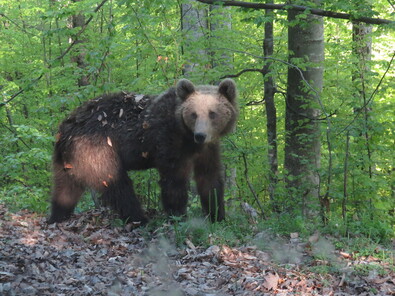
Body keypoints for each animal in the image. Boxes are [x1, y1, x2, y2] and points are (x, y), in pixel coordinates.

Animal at [47, 78, 238, 224]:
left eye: (212, 113)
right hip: (97, 148)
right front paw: (178, 216)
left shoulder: (207, 149)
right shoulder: (168, 140)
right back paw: (140, 219)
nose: (200, 135)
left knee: (65, 188)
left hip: (69, 159)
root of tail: (66, 128)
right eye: (194, 114)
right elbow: (174, 180)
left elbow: (209, 178)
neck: (187, 137)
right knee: (118, 184)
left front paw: (218, 216)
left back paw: (57, 216)